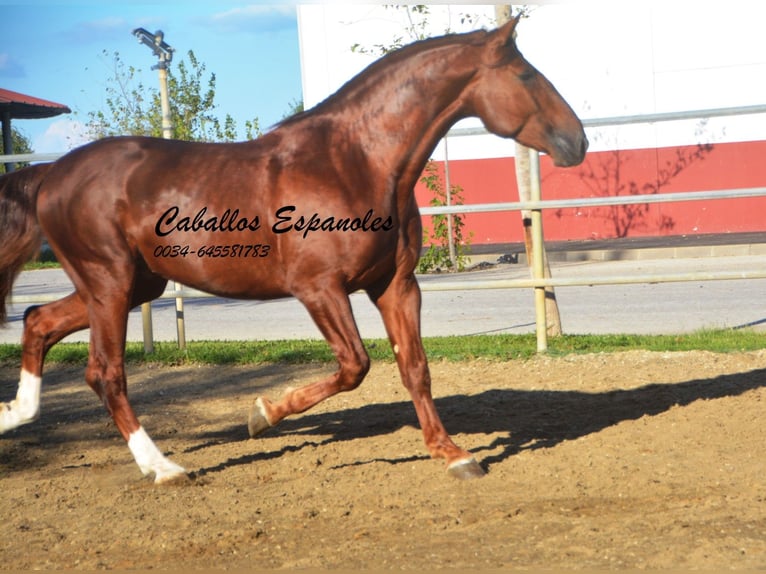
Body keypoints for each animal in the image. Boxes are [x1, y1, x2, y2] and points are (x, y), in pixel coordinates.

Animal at [0, 18, 588, 484]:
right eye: (525, 75)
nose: (577, 141)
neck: (355, 162)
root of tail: (52, 173)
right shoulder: (319, 288)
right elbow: (355, 365)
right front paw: (262, 412)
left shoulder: (395, 285)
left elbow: (414, 367)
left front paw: (454, 455)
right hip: (110, 282)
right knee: (105, 371)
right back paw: (163, 468)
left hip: (132, 284)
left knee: (37, 321)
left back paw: (12, 414)